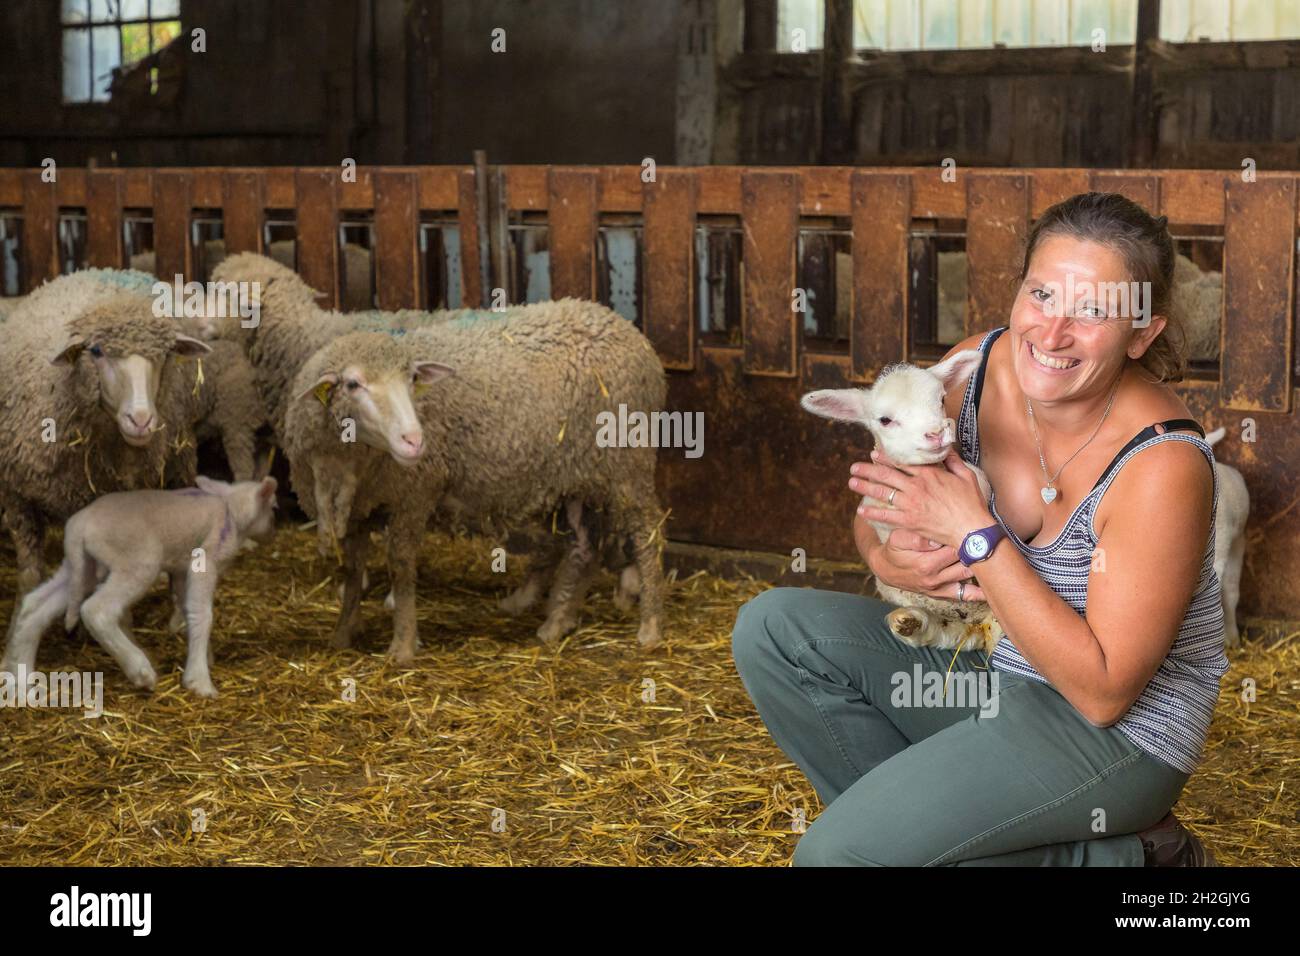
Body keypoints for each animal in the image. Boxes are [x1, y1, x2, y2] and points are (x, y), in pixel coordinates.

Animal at [3, 476, 279, 697]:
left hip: (81, 567)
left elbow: (187, 608)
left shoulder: (182, 569)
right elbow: (203, 615)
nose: (274, 530)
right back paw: (140, 670)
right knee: (96, 611)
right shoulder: (205, 563)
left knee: (34, 607)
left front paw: (204, 657)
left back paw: (23, 680)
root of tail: (78, 526)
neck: (230, 510)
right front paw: (200, 681)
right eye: (274, 507)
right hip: (137, 563)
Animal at [284, 303, 670, 660]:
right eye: (352, 384)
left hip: (628, 465)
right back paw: (556, 624)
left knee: (647, 535)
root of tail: (623, 325)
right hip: (578, 477)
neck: (349, 463)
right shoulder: (360, 508)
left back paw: (649, 627)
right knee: (584, 548)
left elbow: (400, 564)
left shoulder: (416, 491)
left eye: (412, 379)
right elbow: (352, 570)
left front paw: (403, 645)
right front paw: (343, 632)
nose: (415, 441)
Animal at [795, 348, 998, 655]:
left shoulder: (977, 481)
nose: (936, 433)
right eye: (885, 420)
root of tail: (976, 625)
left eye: (941, 399)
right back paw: (910, 622)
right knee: (942, 632)